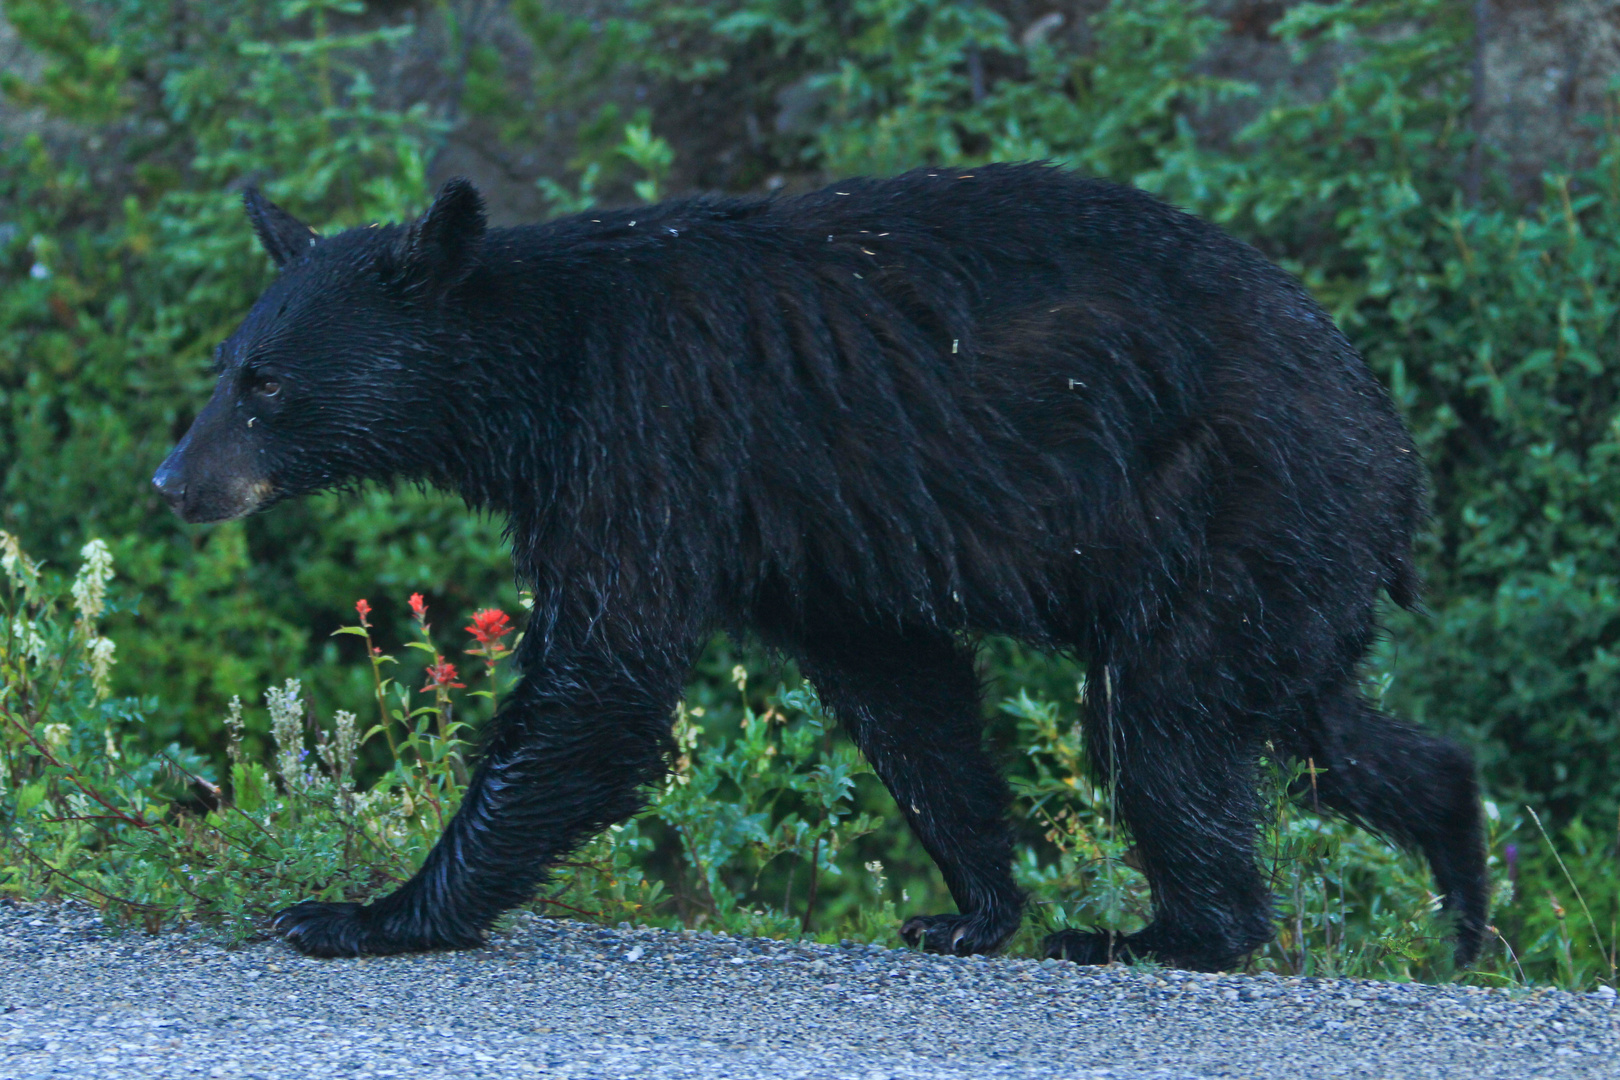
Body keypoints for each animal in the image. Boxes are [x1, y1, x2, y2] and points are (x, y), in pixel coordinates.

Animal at [157, 162, 1483, 971]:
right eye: (223, 366)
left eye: (266, 384)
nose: (176, 483)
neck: (541, 365)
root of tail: (1398, 451)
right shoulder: (805, 524)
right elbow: (901, 689)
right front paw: (971, 908)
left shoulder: (652, 438)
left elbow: (601, 680)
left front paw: (362, 912)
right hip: (1287, 559)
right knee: (1309, 720)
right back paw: (1461, 888)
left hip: (1234, 500)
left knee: (1160, 724)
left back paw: (1165, 936)